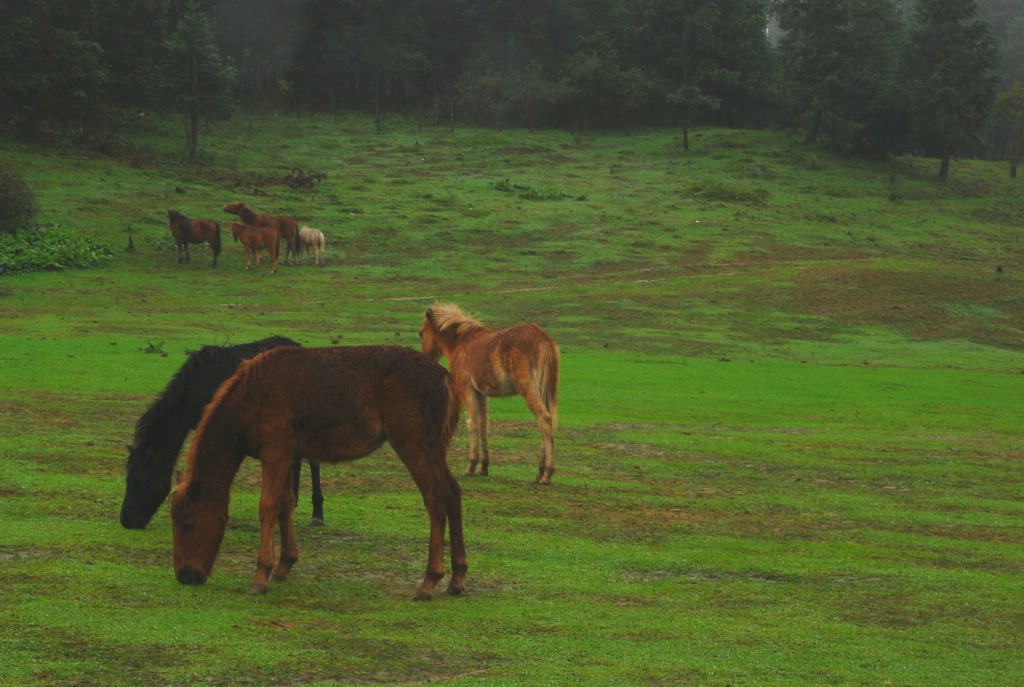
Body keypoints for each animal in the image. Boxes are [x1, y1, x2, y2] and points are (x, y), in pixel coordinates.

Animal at [171, 346, 468, 597]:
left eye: (188, 524)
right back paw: (457, 578)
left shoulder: (275, 453)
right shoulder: (287, 455)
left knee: (435, 499)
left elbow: (268, 506)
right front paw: (285, 563)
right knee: (452, 494)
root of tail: (445, 377)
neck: (249, 399)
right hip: (435, 449)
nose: (185, 575)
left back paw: (429, 580)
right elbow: (286, 504)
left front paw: (260, 576)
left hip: (414, 447)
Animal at [417, 303, 561, 487]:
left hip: (528, 389)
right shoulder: (482, 394)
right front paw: (484, 466)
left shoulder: (467, 389)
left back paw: (547, 473)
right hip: (543, 391)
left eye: (421, 333)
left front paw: (471, 466)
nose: (425, 357)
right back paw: (540, 471)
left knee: (544, 419)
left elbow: (472, 422)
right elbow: (483, 424)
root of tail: (543, 339)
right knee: (545, 423)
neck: (461, 343)